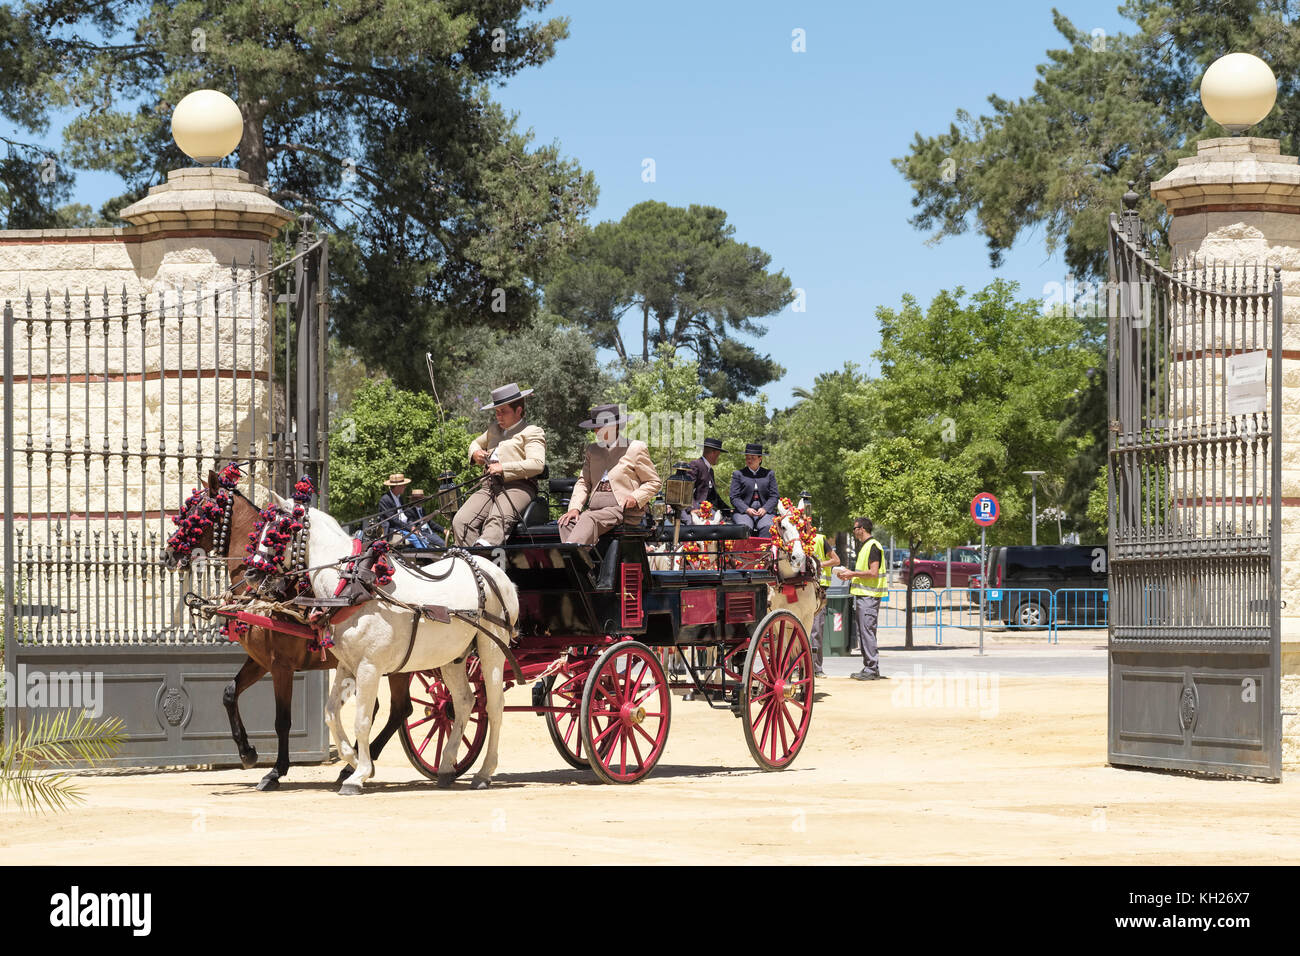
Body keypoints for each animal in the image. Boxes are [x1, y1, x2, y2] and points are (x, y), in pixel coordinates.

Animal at [160, 470, 410, 790]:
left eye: (198, 512)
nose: (167, 554)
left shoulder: (282, 666)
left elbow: (282, 721)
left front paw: (276, 771)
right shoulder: (260, 661)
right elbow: (229, 694)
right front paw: (247, 752)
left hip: (400, 666)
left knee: (400, 710)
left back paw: (356, 766)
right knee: (388, 709)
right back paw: (352, 764)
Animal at [265, 496, 517, 796]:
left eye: (277, 531)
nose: (254, 573)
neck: (353, 586)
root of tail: (495, 572)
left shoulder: (369, 668)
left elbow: (361, 720)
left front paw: (358, 774)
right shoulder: (347, 666)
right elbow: (331, 713)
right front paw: (353, 760)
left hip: (492, 649)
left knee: (494, 706)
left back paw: (484, 772)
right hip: (452, 657)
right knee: (464, 702)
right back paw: (446, 765)